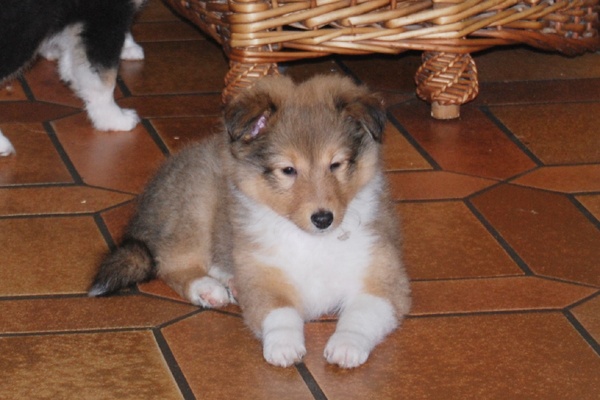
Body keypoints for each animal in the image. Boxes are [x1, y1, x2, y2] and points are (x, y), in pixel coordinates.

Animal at [89, 75, 410, 368]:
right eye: (288, 170)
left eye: (336, 164)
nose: (323, 219)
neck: (311, 241)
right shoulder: (262, 275)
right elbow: (280, 312)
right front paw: (284, 346)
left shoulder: (383, 277)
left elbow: (361, 313)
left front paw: (346, 347)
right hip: (194, 205)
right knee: (171, 262)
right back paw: (208, 289)